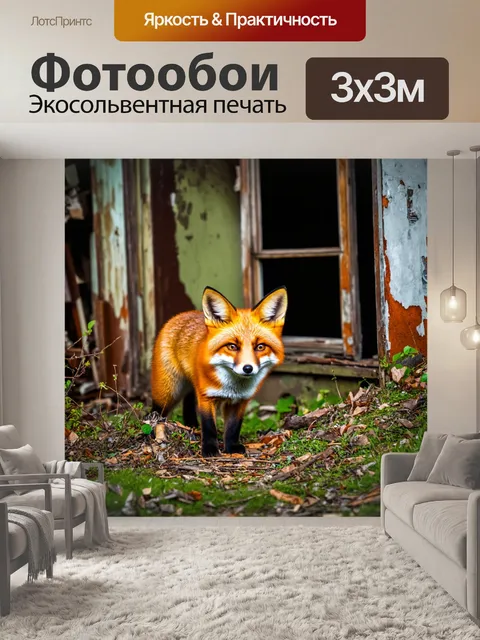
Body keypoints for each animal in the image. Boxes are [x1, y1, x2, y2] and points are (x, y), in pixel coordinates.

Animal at [150, 285, 288, 457]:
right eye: (232, 346)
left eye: (260, 347)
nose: (248, 368)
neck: (232, 387)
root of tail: (182, 314)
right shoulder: (206, 397)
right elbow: (209, 427)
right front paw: (209, 449)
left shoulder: (240, 401)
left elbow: (233, 428)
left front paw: (231, 447)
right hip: (168, 391)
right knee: (157, 410)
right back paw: (153, 432)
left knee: (188, 404)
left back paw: (192, 426)